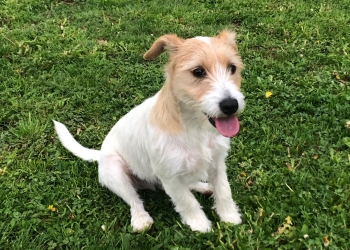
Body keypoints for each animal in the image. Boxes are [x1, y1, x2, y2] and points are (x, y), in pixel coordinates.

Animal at [55, 31, 246, 232]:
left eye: (232, 68)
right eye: (198, 71)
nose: (231, 105)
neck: (194, 127)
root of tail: (99, 154)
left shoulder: (217, 163)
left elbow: (224, 191)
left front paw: (229, 217)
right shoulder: (169, 177)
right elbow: (187, 201)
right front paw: (199, 224)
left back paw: (202, 186)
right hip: (115, 171)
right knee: (133, 199)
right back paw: (140, 219)